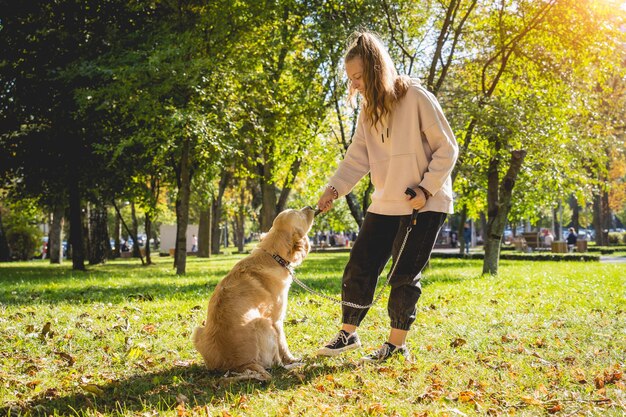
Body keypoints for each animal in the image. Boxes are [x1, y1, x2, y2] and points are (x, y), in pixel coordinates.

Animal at [193, 206, 314, 378]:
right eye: (298, 213)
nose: (310, 207)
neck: (273, 256)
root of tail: (238, 365)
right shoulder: (277, 320)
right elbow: (283, 345)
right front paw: (292, 359)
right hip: (264, 323)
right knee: (277, 364)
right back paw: (296, 365)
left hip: (198, 330)